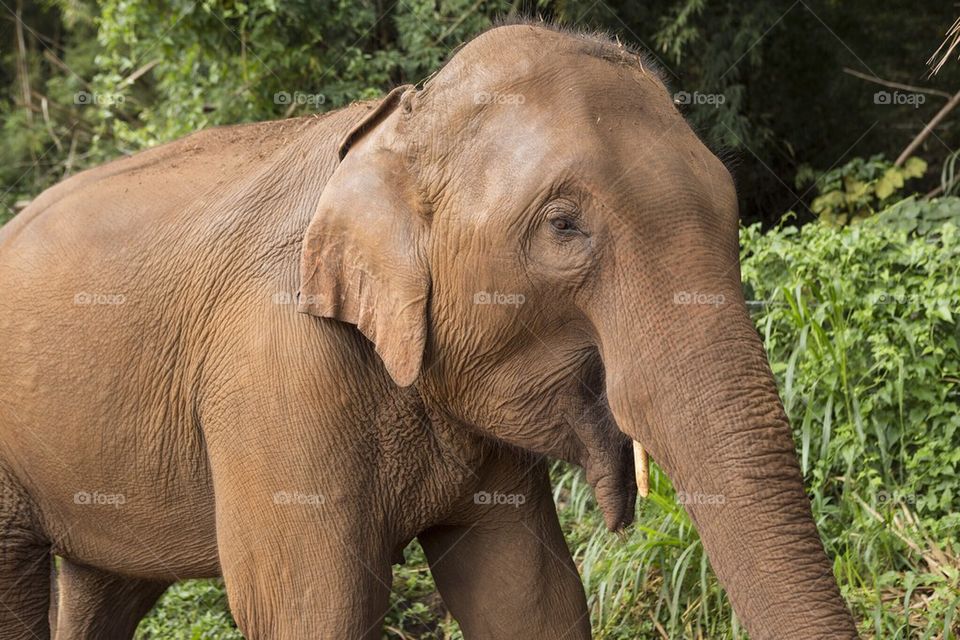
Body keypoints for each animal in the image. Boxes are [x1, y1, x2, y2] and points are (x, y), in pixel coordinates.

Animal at [0, 20, 859, 640]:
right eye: (564, 226)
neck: (400, 125)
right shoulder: (272, 369)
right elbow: (310, 608)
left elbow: (528, 596)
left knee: (105, 588)